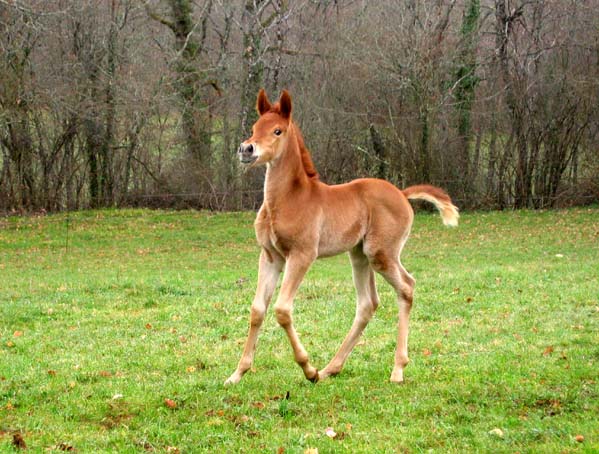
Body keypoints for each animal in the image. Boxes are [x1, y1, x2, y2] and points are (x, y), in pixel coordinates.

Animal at [225, 90, 460, 384]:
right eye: (255, 128)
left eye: (277, 130)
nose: (247, 150)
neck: (289, 199)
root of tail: (402, 194)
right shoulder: (270, 257)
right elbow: (258, 310)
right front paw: (237, 374)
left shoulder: (302, 255)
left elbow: (282, 309)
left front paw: (308, 369)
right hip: (358, 254)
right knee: (368, 303)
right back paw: (332, 368)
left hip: (380, 253)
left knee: (406, 287)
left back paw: (396, 370)